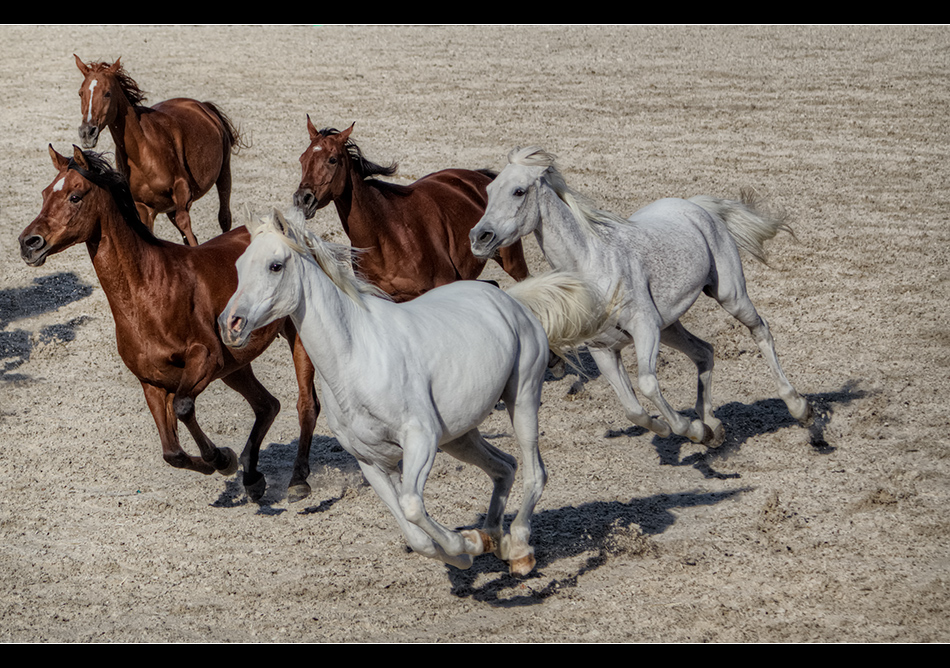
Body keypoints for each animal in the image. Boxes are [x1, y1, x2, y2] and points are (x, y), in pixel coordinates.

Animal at [18, 145, 322, 500]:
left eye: (75, 196)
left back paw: (298, 480)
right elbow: (172, 452)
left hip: (296, 339)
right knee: (267, 405)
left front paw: (221, 458)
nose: (29, 243)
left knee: (306, 404)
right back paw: (252, 478)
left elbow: (184, 406)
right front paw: (222, 462)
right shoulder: (151, 381)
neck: (149, 290)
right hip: (236, 365)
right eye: (44, 194)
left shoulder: (206, 359)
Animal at [76, 55, 244, 248]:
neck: (142, 151)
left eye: (107, 93)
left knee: (224, 218)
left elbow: (186, 224)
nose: (87, 132)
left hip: (224, 172)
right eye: (81, 93)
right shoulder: (144, 207)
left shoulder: (182, 190)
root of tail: (203, 106)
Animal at [219, 210, 608, 576]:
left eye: (275, 265)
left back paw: (521, 550)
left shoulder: (420, 437)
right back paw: (491, 537)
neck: (354, 358)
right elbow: (415, 533)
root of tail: (512, 302)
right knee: (505, 467)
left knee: (533, 472)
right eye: (237, 266)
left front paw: (462, 542)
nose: (230, 324)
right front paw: (466, 550)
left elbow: (412, 506)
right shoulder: (372, 462)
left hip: (522, 400)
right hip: (460, 436)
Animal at [472, 147, 816, 448]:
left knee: (761, 331)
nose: (479, 238)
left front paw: (690, 429)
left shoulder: (644, 327)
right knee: (704, 352)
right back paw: (713, 427)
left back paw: (799, 408)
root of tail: (696, 207)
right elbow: (633, 409)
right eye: (489, 190)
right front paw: (685, 429)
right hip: (670, 326)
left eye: (518, 191)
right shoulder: (603, 349)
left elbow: (648, 384)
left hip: (730, 296)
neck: (593, 266)